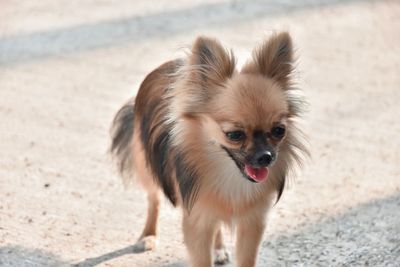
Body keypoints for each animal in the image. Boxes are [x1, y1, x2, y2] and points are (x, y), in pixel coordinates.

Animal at [109, 33, 306, 267]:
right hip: (147, 165)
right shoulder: (197, 222)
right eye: (234, 135)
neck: (228, 175)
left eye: (279, 130)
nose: (266, 157)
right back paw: (148, 236)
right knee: (153, 199)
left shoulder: (252, 222)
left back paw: (219, 248)